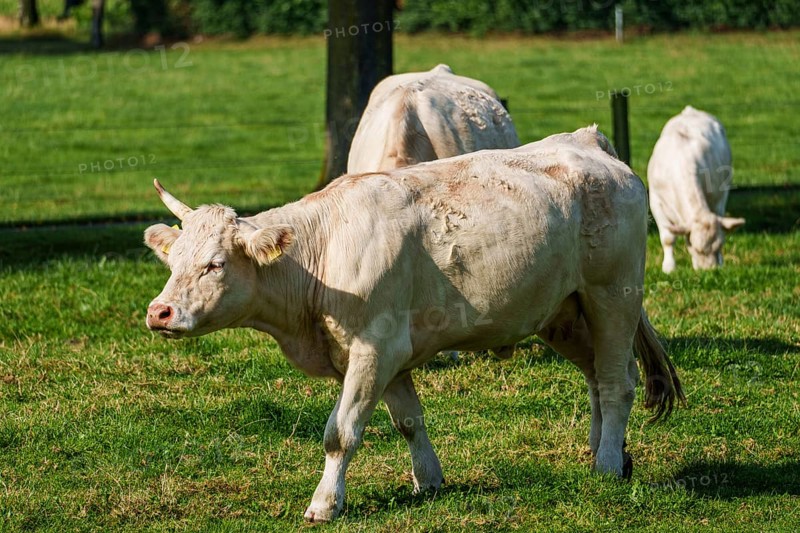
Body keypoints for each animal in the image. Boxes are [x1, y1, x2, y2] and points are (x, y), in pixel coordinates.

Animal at [144, 126, 684, 522]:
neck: (323, 252)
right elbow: (407, 420)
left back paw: (608, 465)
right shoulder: (390, 357)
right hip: (563, 312)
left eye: (214, 264)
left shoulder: (373, 347)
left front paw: (325, 503)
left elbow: (341, 432)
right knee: (597, 379)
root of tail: (587, 140)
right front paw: (429, 479)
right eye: (173, 262)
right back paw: (604, 453)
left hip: (612, 296)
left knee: (616, 383)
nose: (158, 312)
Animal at [647, 106, 745, 273]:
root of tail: (691, 110)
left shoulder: (716, 196)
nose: (710, 271)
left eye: (720, 245)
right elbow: (667, 238)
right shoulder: (656, 202)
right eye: (695, 247)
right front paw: (669, 267)